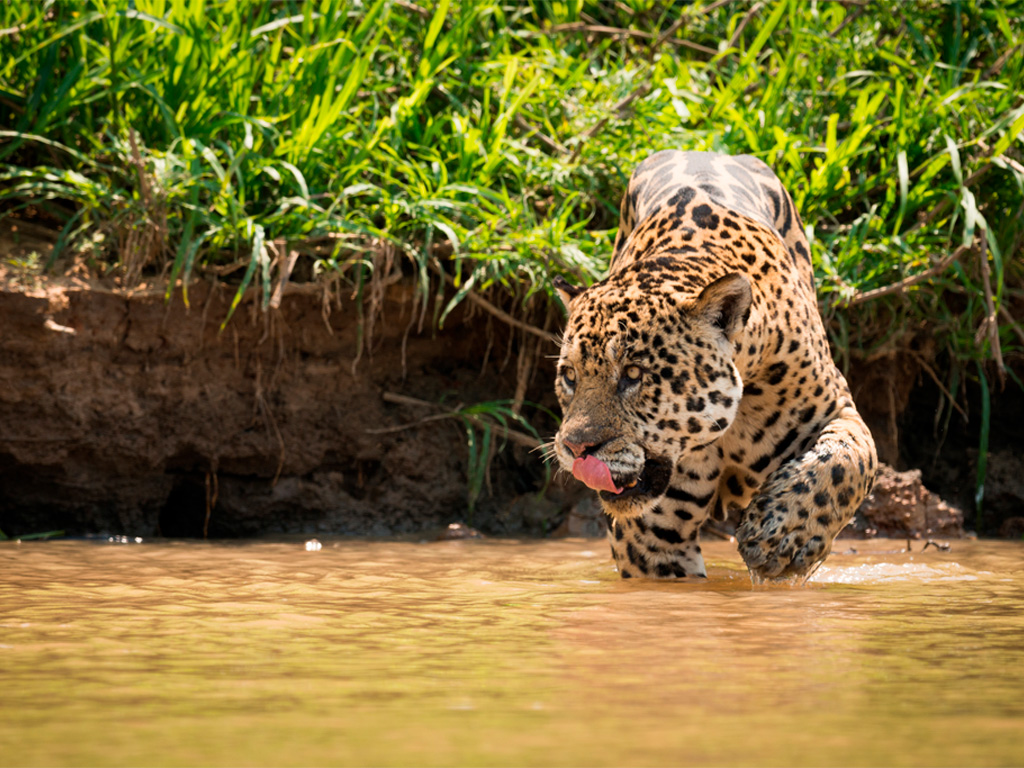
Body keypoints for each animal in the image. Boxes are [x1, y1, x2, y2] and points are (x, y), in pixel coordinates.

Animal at [552, 150, 877, 582]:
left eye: (634, 374)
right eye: (570, 377)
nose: (576, 448)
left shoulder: (835, 407)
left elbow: (847, 459)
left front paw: (781, 538)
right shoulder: (654, 543)